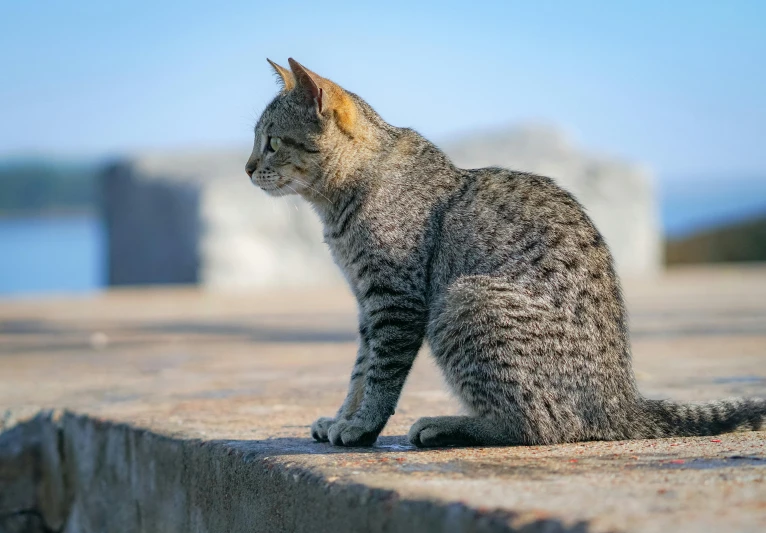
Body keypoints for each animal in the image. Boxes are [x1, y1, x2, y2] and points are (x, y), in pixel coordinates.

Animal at [246, 58, 766, 446]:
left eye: (271, 142)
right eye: (257, 141)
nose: (247, 167)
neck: (342, 200)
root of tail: (621, 401)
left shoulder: (395, 302)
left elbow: (381, 375)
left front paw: (361, 427)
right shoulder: (367, 306)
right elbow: (359, 369)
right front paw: (343, 417)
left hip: (463, 299)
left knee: (542, 426)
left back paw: (447, 426)